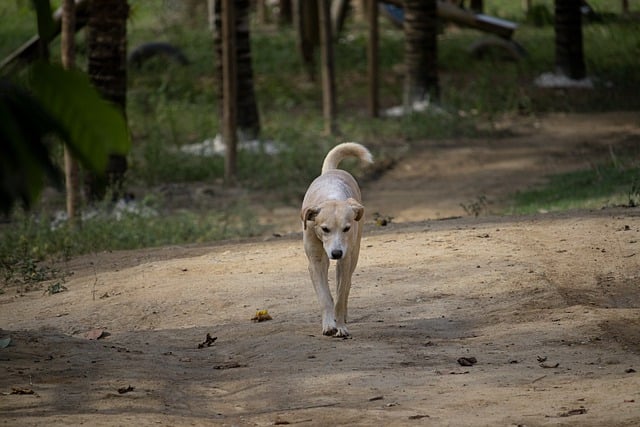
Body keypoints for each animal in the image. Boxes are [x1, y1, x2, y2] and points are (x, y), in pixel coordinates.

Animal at [302, 144, 372, 338]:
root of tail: (331, 172)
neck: (330, 197)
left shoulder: (345, 261)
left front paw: (340, 326)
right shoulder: (316, 262)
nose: (336, 253)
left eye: (346, 228)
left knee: (347, 285)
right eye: (325, 229)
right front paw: (329, 325)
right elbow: (325, 297)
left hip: (354, 253)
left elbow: (340, 296)